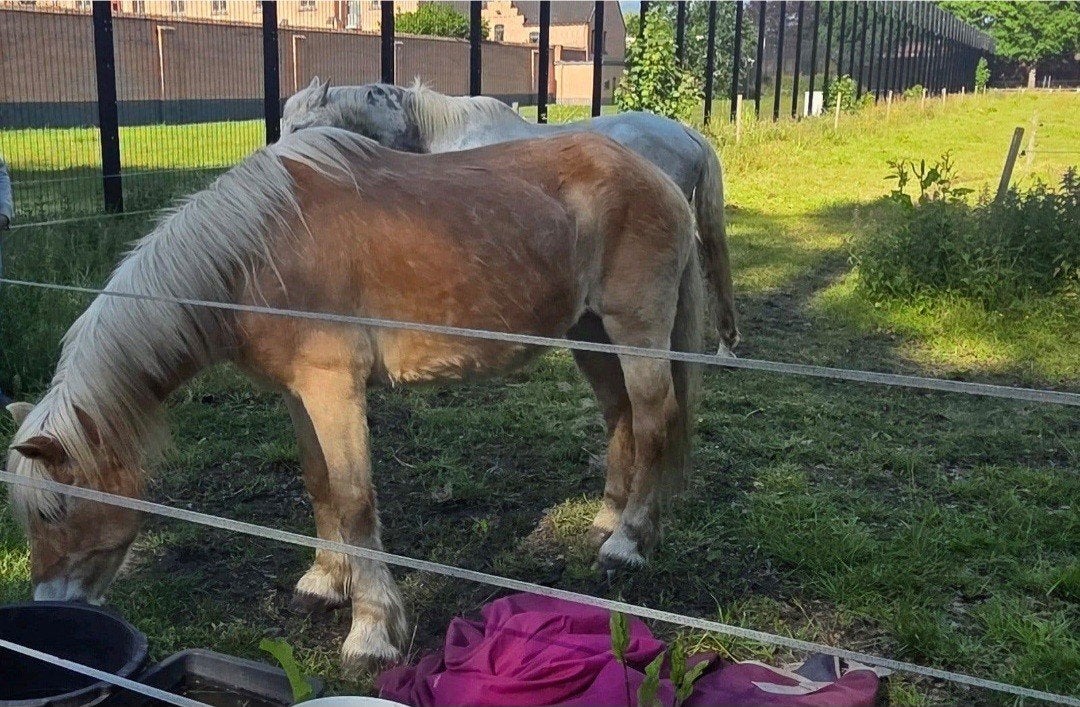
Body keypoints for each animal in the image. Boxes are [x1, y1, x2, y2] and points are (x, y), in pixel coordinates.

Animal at [6, 127, 703, 669]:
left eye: (56, 510)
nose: (50, 608)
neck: (256, 251)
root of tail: (659, 174)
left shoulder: (333, 386)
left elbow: (353, 496)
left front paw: (370, 632)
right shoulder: (300, 393)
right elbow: (318, 482)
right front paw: (325, 581)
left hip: (636, 331)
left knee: (655, 420)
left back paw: (628, 543)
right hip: (589, 334)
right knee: (621, 418)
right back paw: (609, 518)